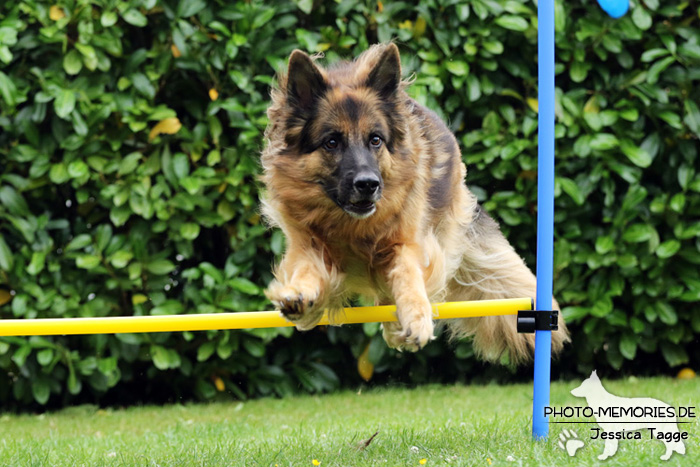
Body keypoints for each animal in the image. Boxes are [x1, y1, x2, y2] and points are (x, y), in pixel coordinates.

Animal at [258, 44, 568, 364]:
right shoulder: (306, 243)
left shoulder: (408, 241)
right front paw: (299, 295)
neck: (352, 226)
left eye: (376, 140)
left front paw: (416, 318)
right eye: (331, 142)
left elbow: (408, 275)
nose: (369, 184)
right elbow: (307, 269)